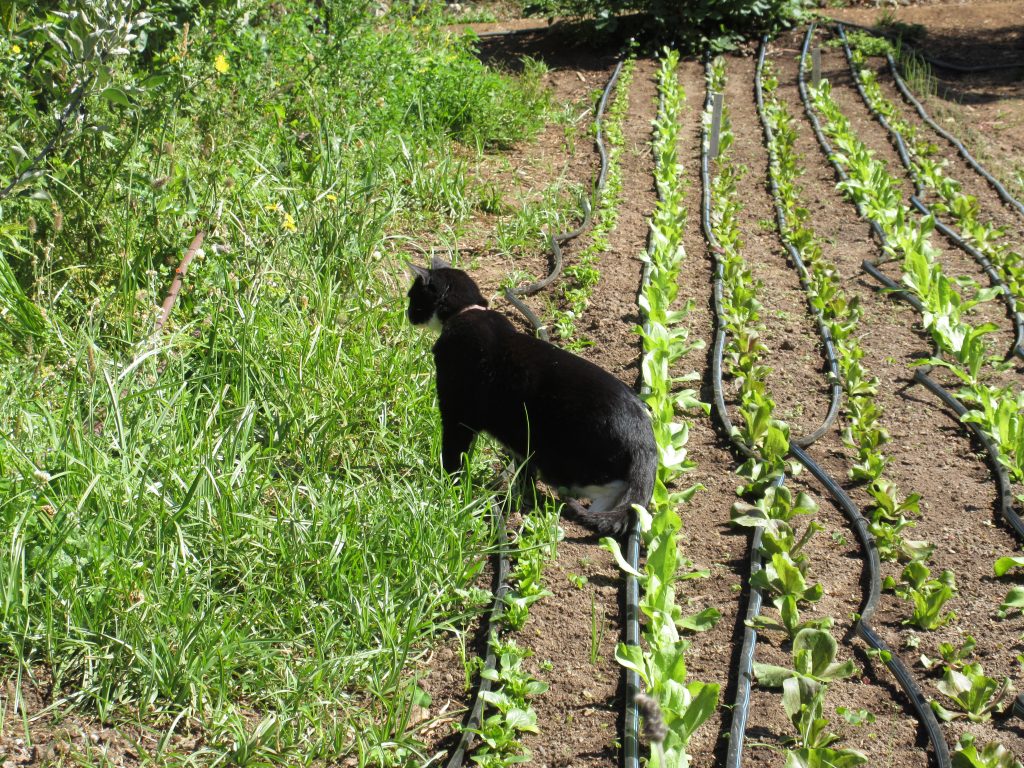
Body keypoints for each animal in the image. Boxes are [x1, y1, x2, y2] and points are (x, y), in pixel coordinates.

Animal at [407, 259, 655, 536]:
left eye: (412, 297)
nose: (407, 314)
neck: (466, 312)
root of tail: (645, 437)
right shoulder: (515, 436)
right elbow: (520, 468)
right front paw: (518, 492)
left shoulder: (456, 413)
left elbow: (453, 452)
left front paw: (448, 484)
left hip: (562, 457)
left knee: (615, 493)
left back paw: (584, 509)